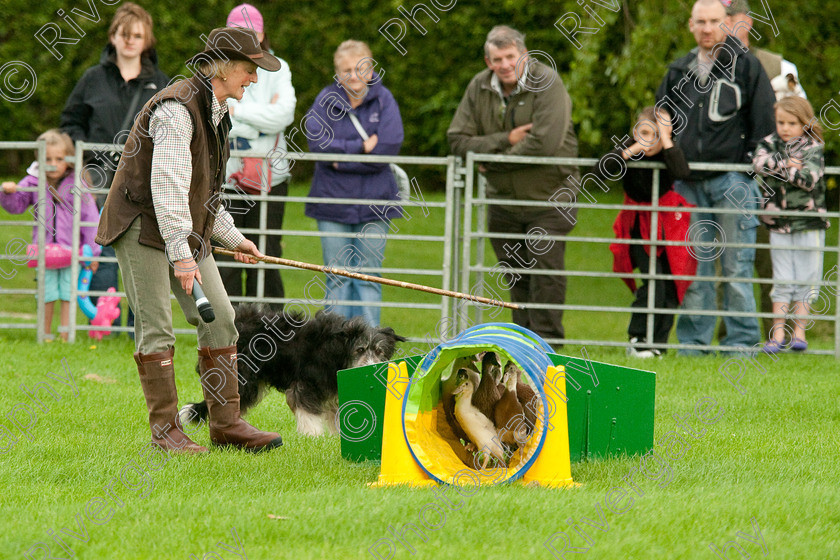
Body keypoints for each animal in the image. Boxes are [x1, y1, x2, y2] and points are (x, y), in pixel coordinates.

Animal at [181, 304, 406, 436]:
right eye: (360, 350)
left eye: (379, 352)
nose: (372, 366)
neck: (336, 350)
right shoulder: (306, 382)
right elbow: (307, 410)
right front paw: (312, 436)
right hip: (242, 377)